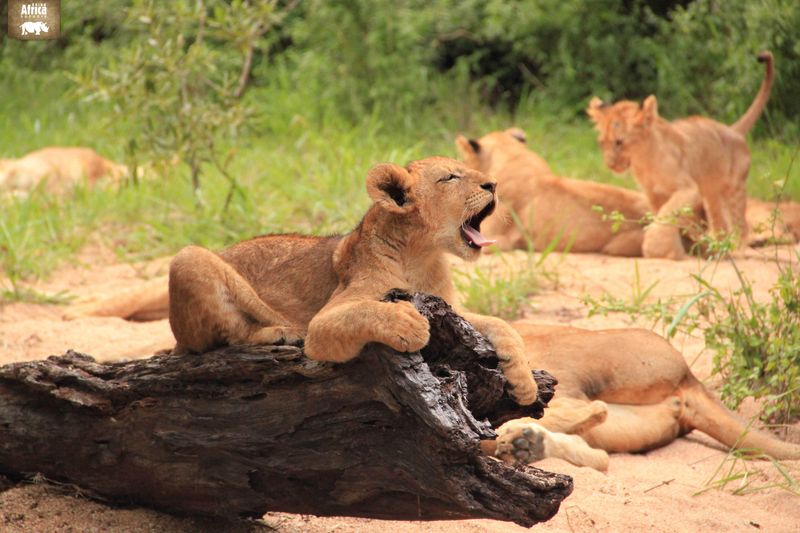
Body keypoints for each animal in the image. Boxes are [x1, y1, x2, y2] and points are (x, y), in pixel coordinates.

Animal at [482, 322, 800, 471]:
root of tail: (688, 375)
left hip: (570, 359)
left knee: (586, 408)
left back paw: (520, 439)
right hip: (630, 424)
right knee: (599, 453)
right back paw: (525, 444)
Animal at [586, 52, 774, 259]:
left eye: (619, 142)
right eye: (602, 142)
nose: (610, 164)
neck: (643, 161)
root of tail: (733, 130)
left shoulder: (688, 188)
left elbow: (668, 211)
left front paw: (657, 240)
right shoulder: (652, 193)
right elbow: (662, 213)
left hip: (735, 190)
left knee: (742, 224)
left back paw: (737, 249)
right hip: (712, 195)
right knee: (720, 224)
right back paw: (719, 249)